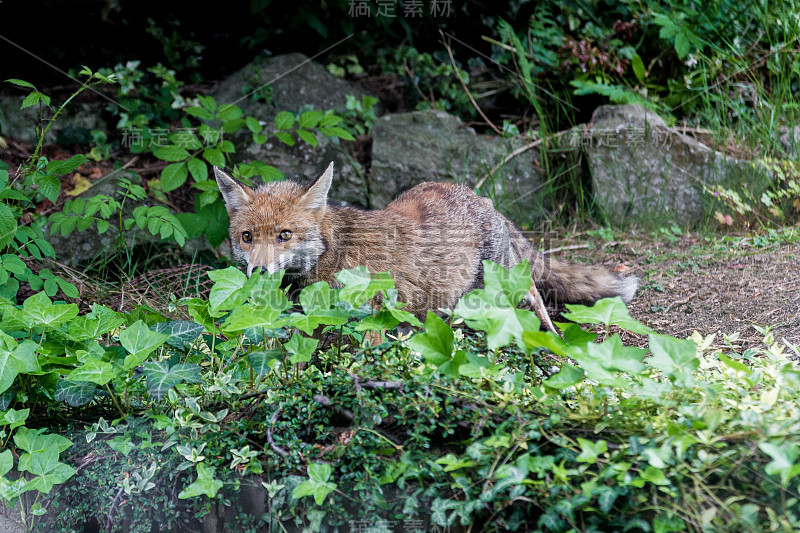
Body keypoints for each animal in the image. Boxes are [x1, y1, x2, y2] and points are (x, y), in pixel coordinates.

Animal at [212, 164, 636, 326]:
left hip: (502, 272)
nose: (257, 271)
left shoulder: (382, 306)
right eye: (247, 238)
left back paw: (552, 335)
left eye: (284, 235)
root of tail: (480, 197)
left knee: (532, 288)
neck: (333, 254)